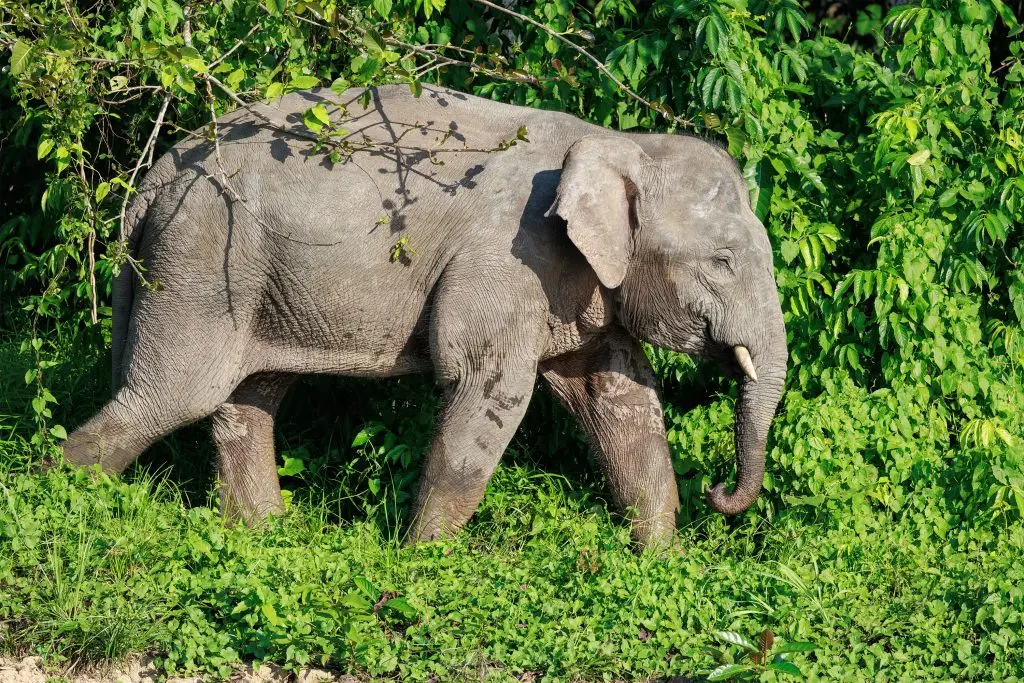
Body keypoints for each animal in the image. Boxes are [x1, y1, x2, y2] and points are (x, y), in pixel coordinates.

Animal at [62, 84, 787, 547]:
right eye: (723, 261)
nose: (718, 492)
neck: (617, 141)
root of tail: (155, 174)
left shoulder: (576, 286)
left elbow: (619, 399)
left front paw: (659, 560)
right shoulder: (509, 259)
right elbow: (486, 389)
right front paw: (421, 564)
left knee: (246, 398)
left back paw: (266, 537)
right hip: (201, 256)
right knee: (171, 396)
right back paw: (59, 500)